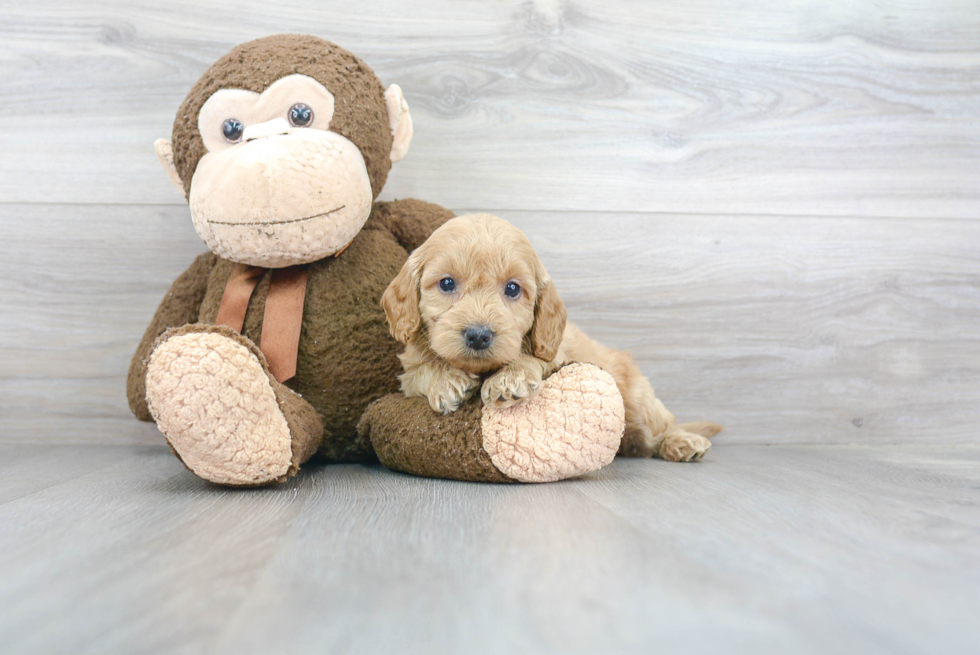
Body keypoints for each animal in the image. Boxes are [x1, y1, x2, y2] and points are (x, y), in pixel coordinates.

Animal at [380, 215, 720, 462]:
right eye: (447, 283)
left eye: (513, 288)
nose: (478, 335)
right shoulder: (408, 372)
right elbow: (424, 369)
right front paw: (445, 380)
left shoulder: (557, 353)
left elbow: (533, 358)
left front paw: (509, 379)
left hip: (639, 398)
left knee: (662, 425)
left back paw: (682, 440)